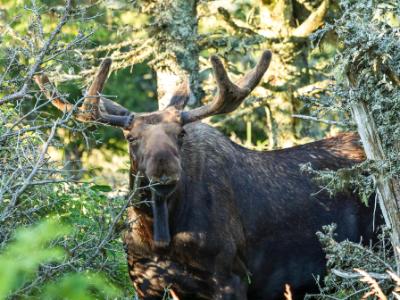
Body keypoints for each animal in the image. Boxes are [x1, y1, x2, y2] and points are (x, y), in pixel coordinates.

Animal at [34, 50, 378, 298]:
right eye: (131, 138)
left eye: (181, 134)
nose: (164, 171)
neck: (160, 236)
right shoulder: (143, 282)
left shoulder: (231, 277)